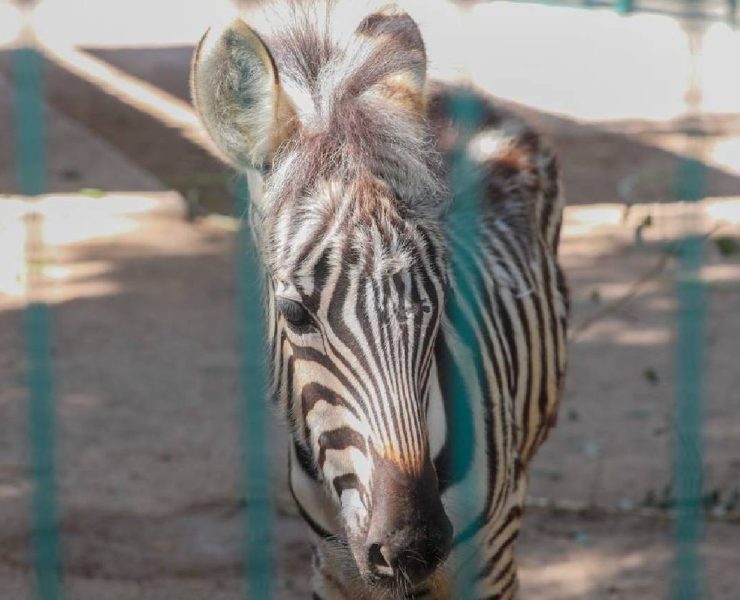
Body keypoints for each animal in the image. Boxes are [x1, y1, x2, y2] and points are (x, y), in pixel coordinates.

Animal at [192, 1, 568, 598]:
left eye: (444, 298)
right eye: (294, 313)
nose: (412, 547)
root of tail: (463, 95)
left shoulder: (491, 567)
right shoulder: (334, 567)